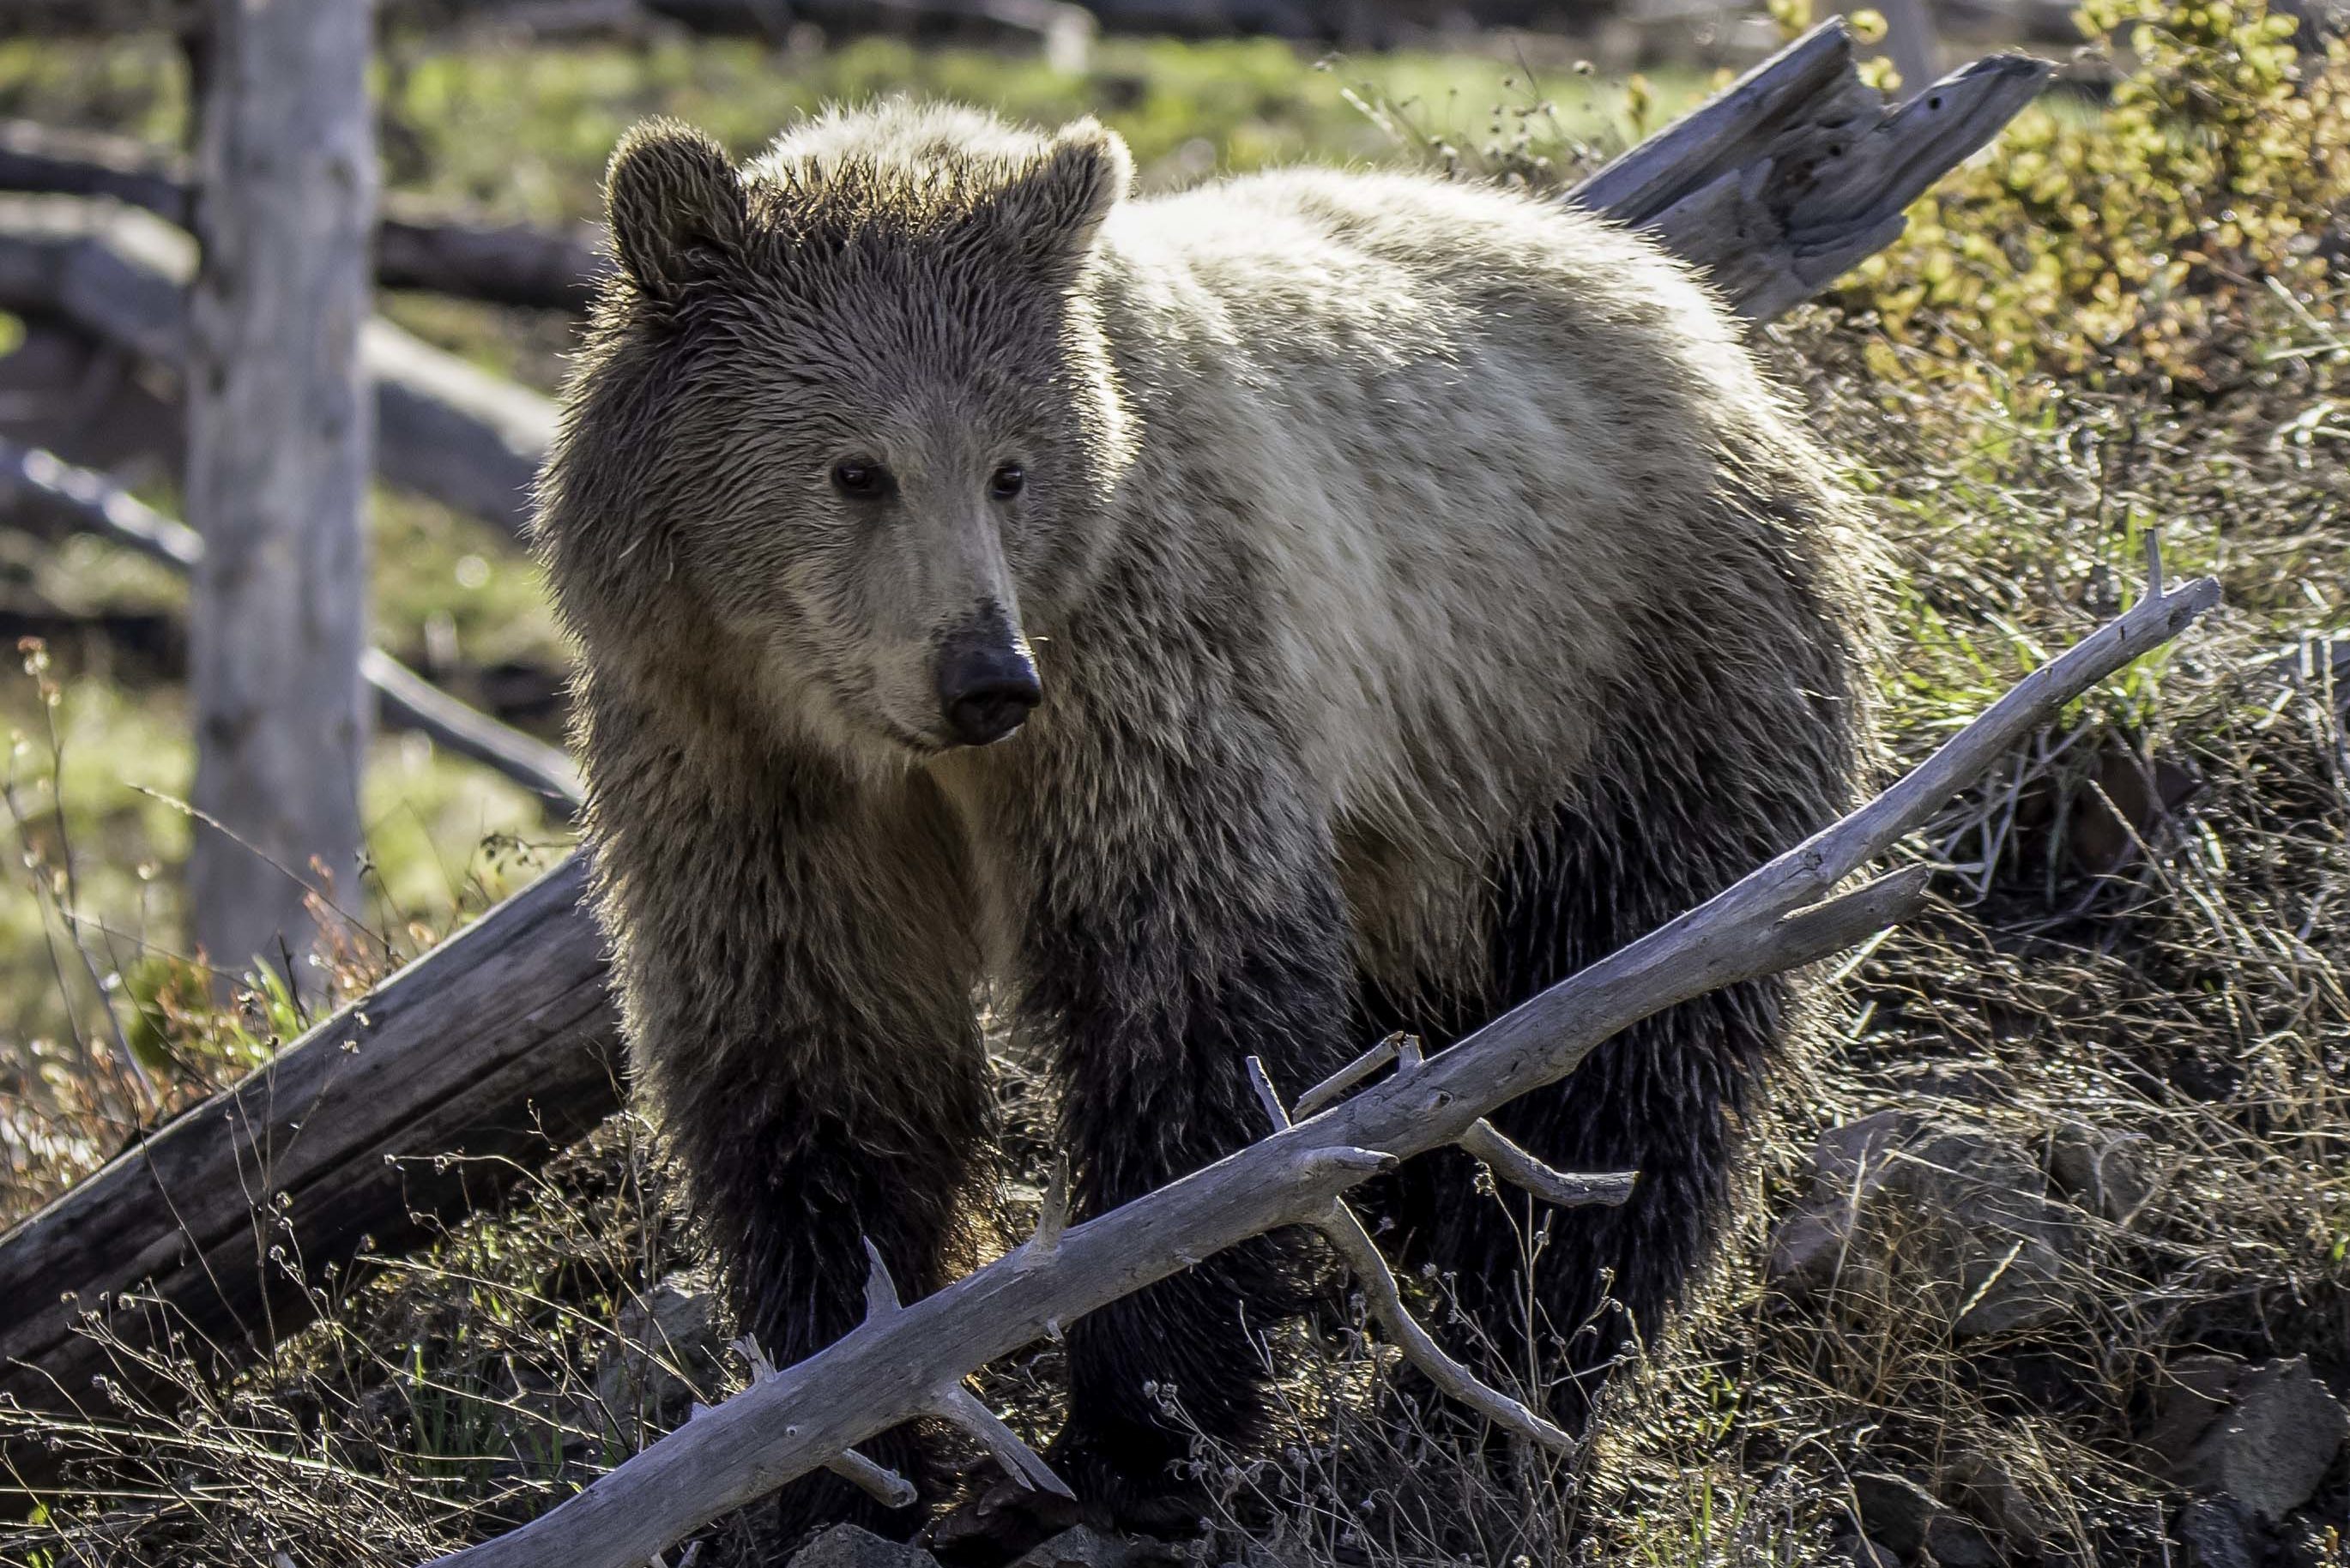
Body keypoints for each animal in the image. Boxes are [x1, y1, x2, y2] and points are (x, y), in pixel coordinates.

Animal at [533, 104, 1870, 1541]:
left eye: (1011, 469)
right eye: (855, 469)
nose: (981, 675)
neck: (881, 742)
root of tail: (1703, 323)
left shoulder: (1147, 665)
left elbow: (1183, 1001)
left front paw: (1131, 1432)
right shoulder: (735, 755)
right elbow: (815, 1041)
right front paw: (842, 1444)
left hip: (1617, 683)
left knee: (1624, 1065)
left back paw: (1493, 1395)